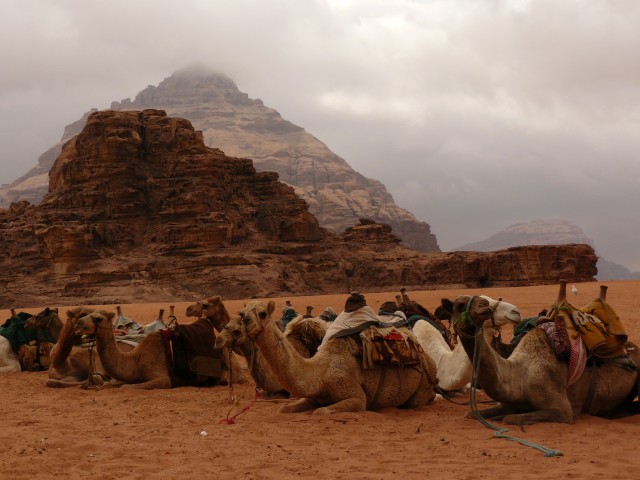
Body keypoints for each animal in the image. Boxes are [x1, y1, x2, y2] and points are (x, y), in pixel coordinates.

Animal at [238, 294, 438, 414]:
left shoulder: (356, 397)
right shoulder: (313, 397)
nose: (246, 321)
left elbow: (321, 411)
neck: (321, 373)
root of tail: (429, 361)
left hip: (422, 387)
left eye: (262, 313)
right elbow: (285, 409)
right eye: (242, 313)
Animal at [442, 282, 640, 424]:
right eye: (460, 305)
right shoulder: (507, 401)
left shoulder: (562, 410)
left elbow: (511, 418)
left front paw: (503, 418)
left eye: (483, 301)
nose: (484, 306)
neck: (521, 374)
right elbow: (471, 414)